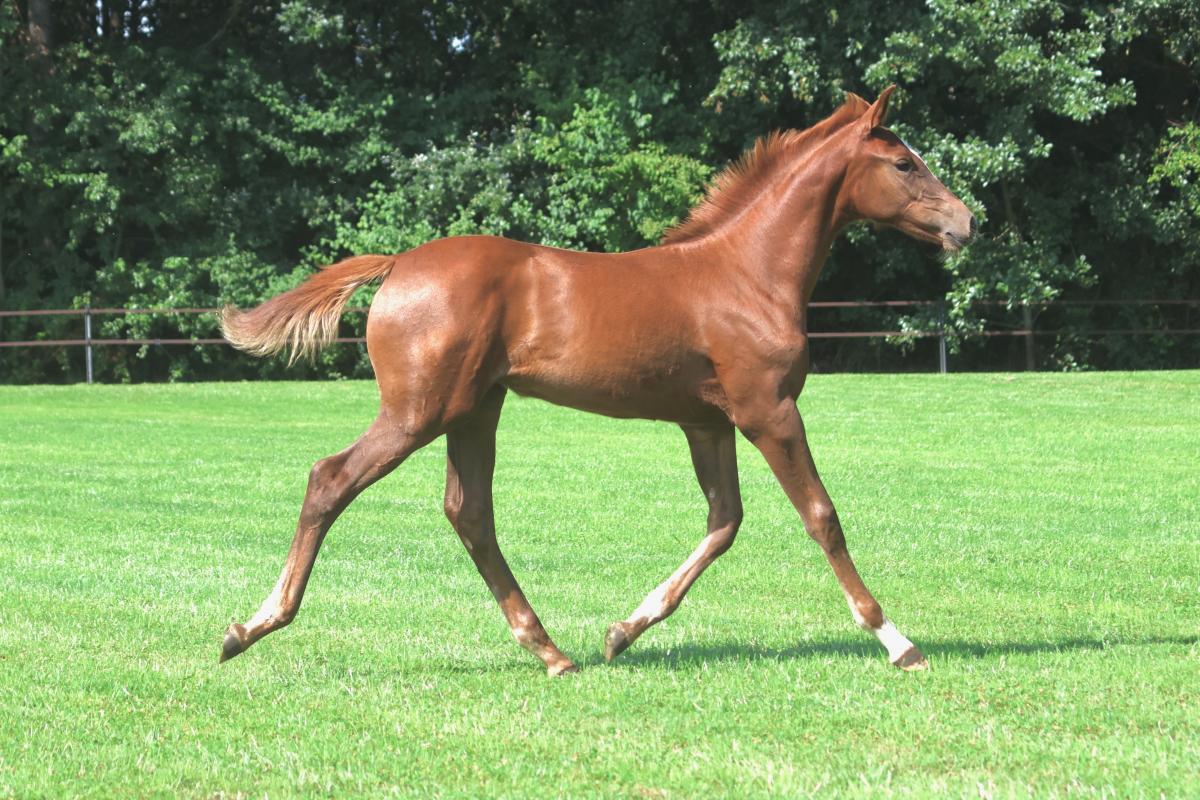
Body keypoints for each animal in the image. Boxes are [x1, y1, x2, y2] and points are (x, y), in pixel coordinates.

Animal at [217, 86, 976, 675]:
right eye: (904, 162)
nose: (968, 223)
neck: (745, 273)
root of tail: (399, 263)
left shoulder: (708, 421)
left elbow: (724, 521)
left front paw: (623, 631)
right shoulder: (769, 410)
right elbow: (821, 516)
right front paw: (897, 641)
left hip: (475, 409)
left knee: (469, 512)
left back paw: (552, 651)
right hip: (420, 410)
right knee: (333, 479)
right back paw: (251, 627)